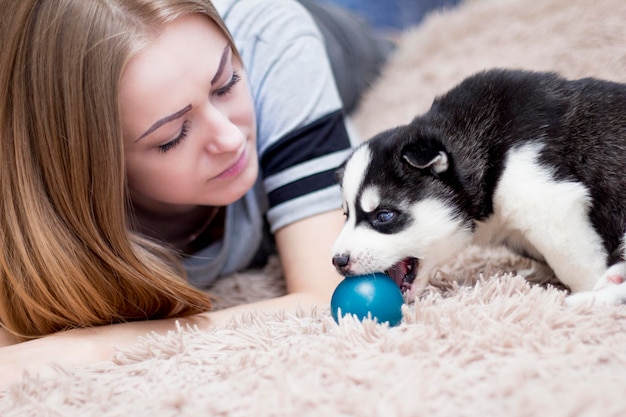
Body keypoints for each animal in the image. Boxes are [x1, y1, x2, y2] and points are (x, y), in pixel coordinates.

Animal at [334, 67, 624, 302]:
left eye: (384, 216)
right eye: (346, 215)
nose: (338, 261)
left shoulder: (550, 202)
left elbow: (578, 268)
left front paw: (585, 293)